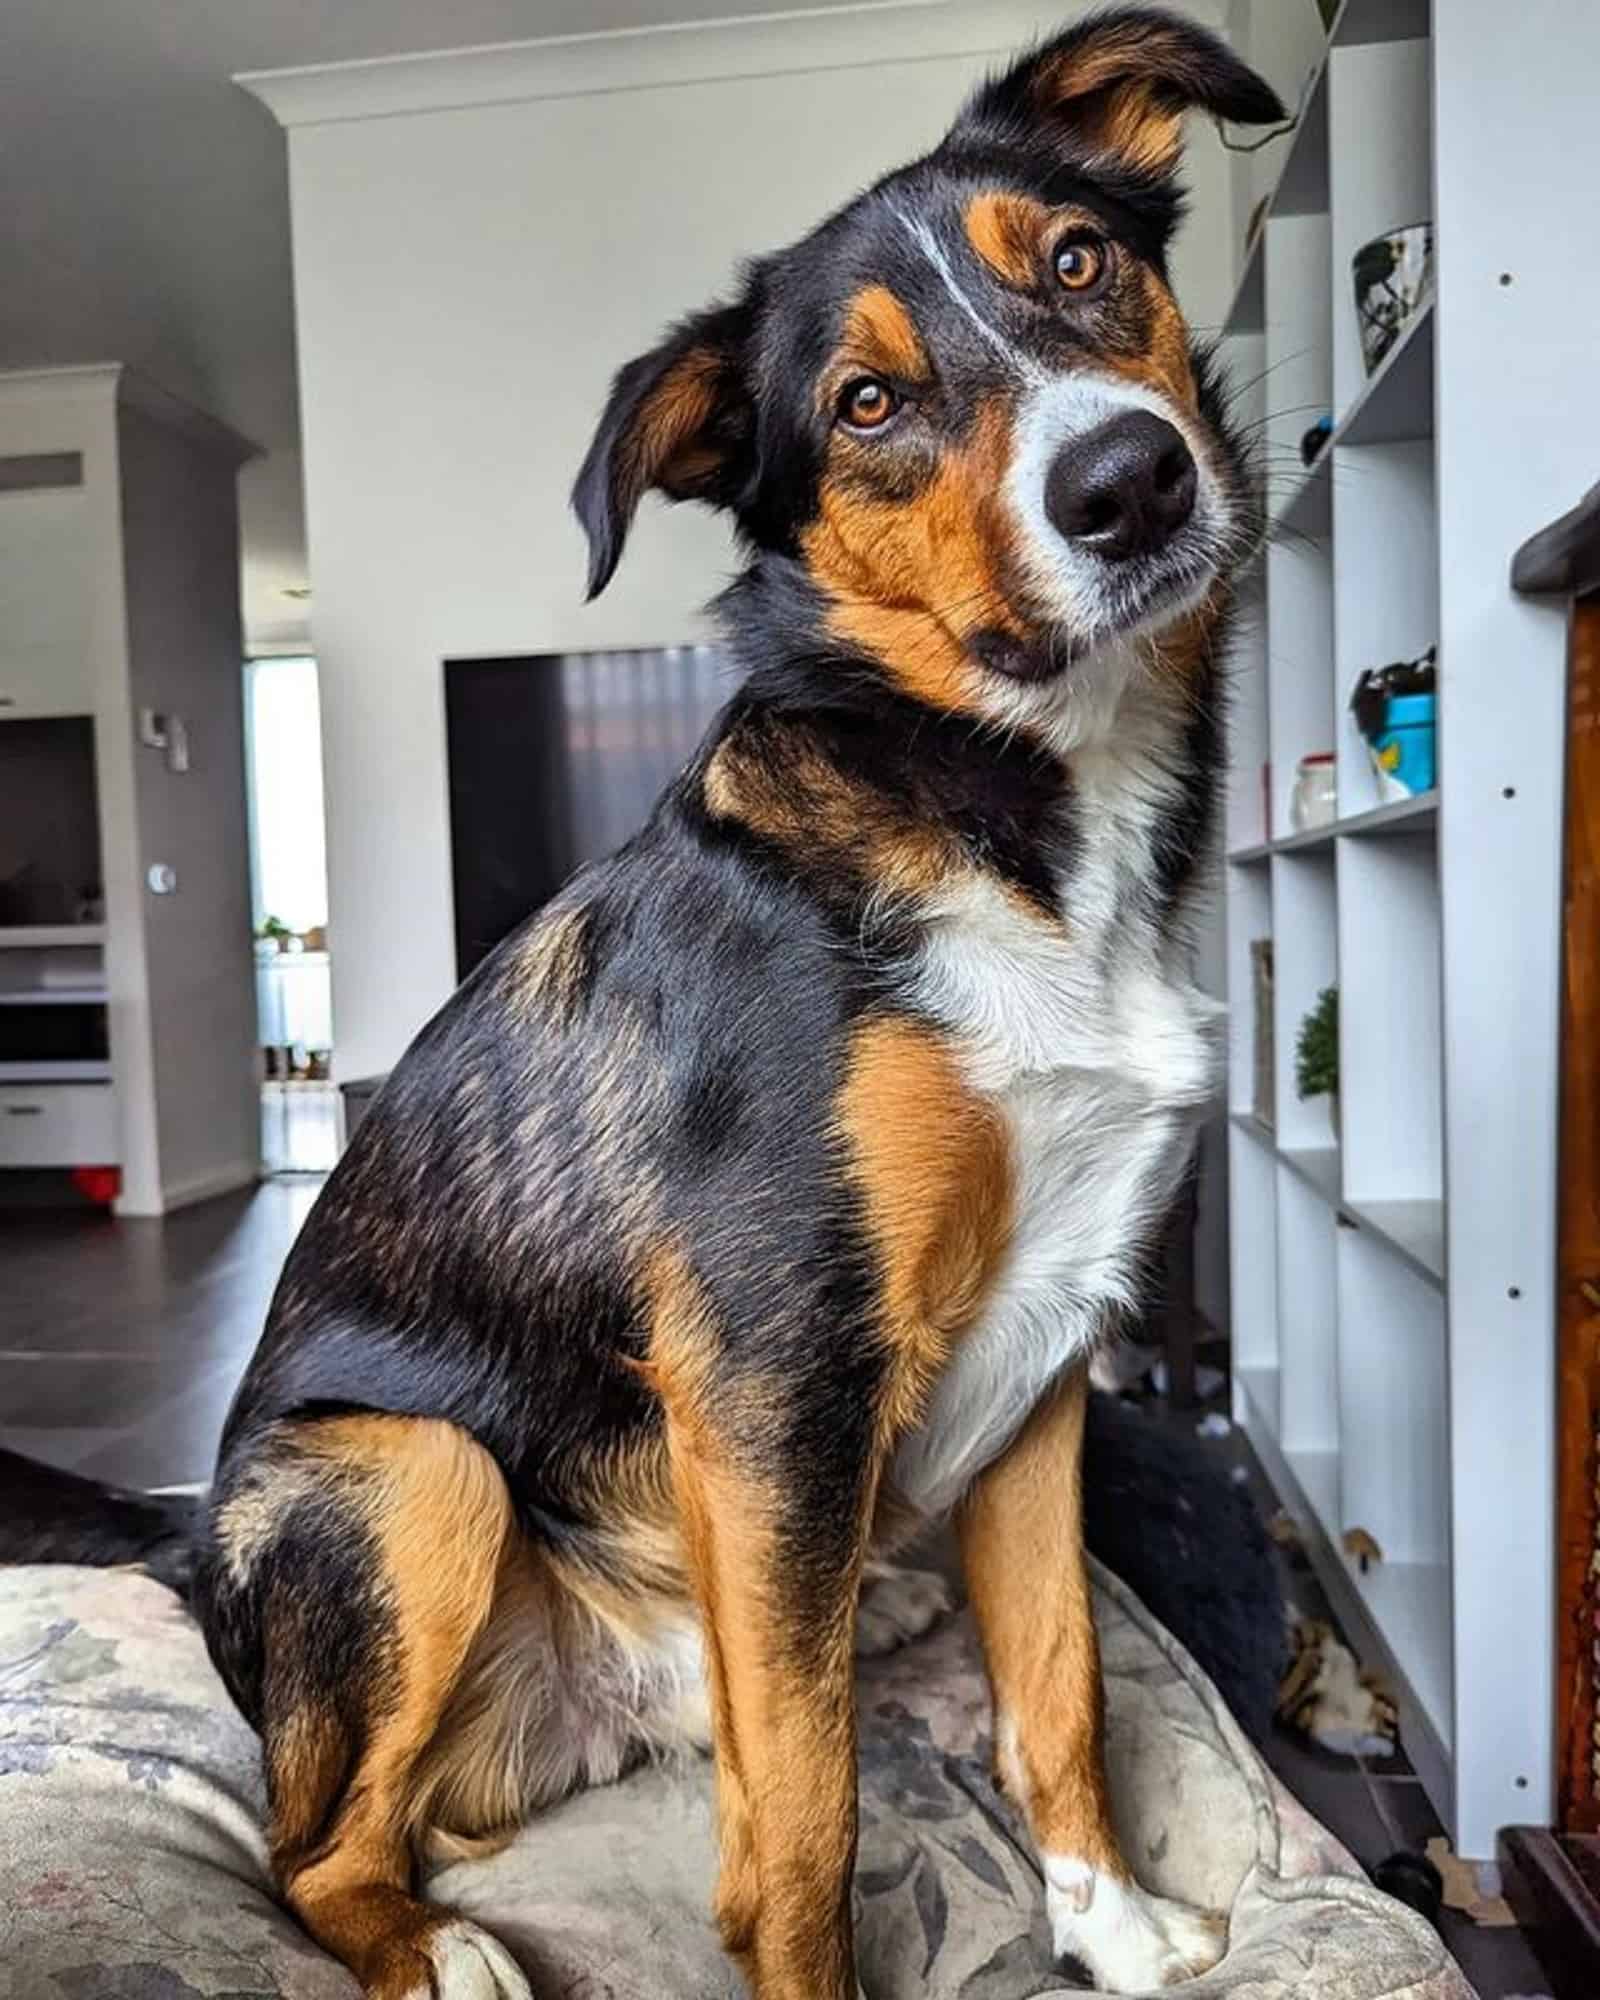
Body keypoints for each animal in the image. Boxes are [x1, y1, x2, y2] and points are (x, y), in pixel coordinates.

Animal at [28, 19, 1288, 2000]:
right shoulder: (779, 1370)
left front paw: (1122, 1927)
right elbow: (813, 1838)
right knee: (314, 1852)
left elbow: (1060, 1688)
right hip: (414, 1479)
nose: (1131, 482)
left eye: (1081, 265)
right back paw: (434, 1950)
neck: (1004, 806)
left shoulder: (1047, 1370)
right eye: (865, 405)